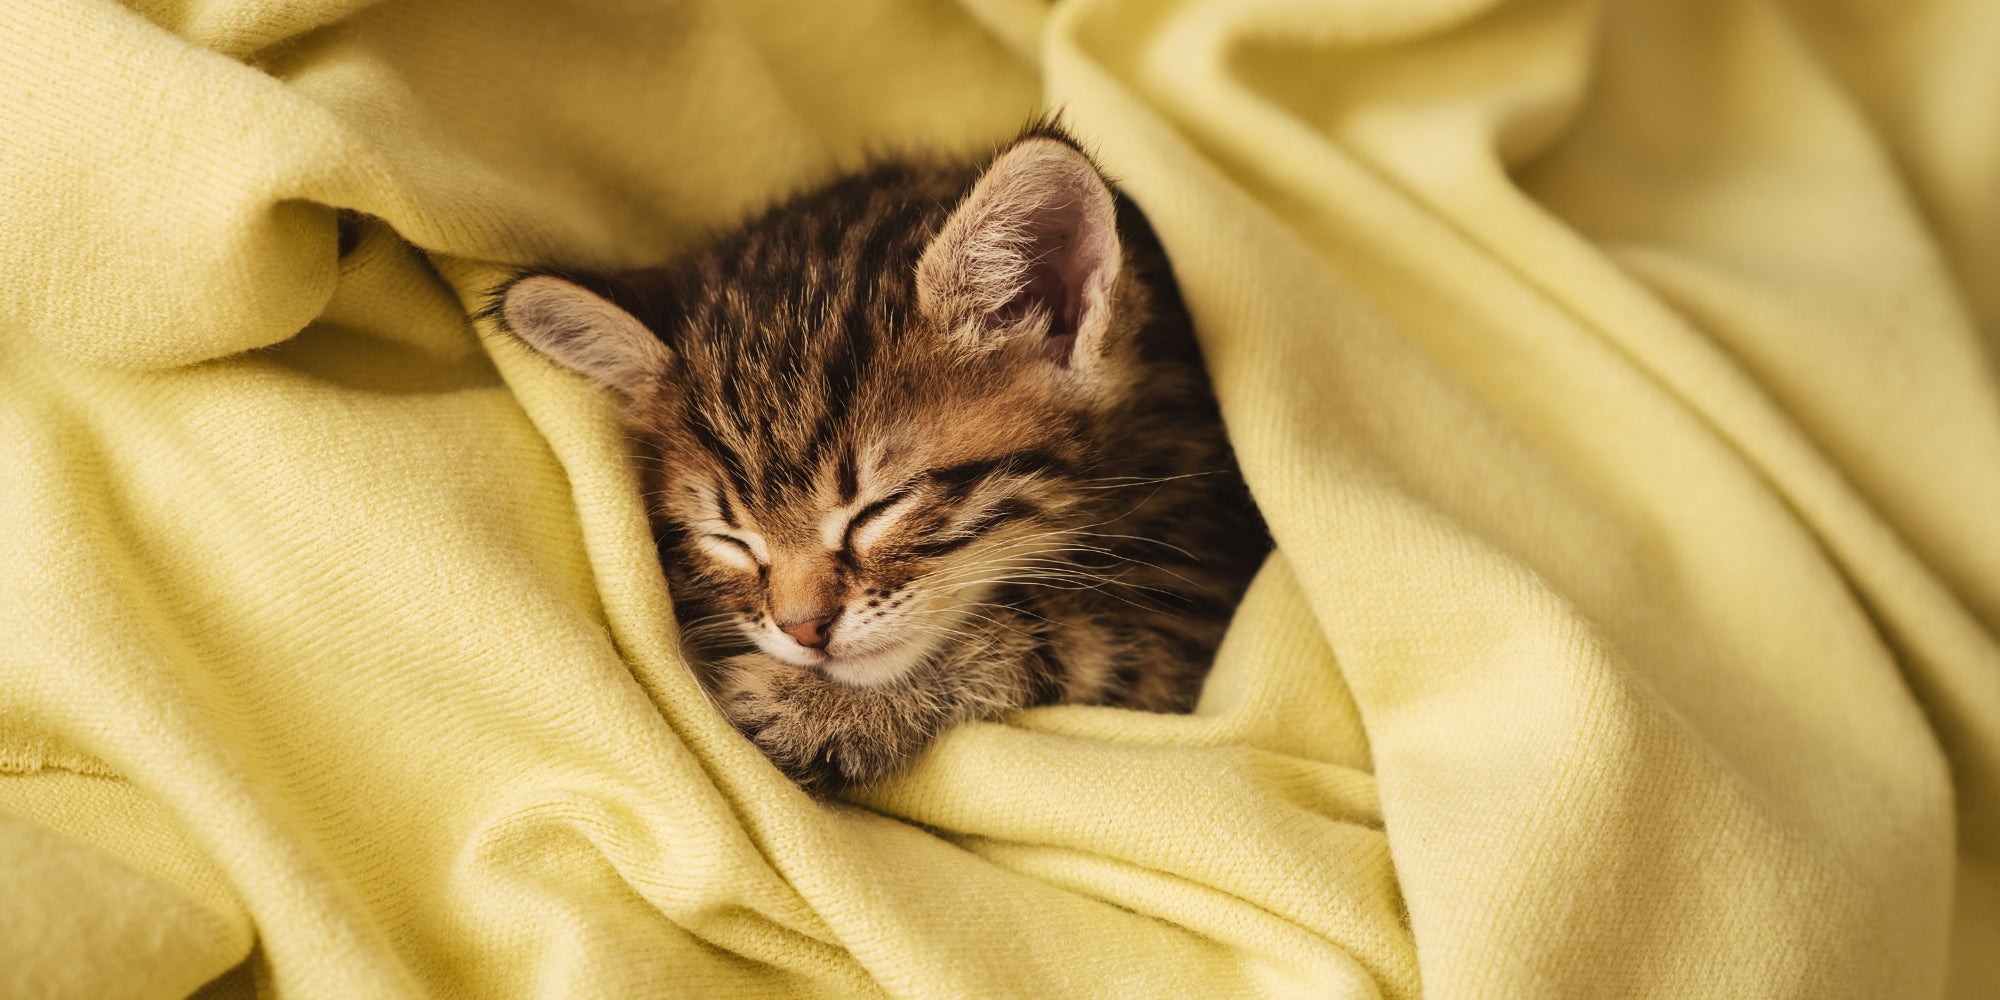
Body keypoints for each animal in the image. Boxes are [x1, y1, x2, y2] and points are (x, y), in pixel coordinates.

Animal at [496, 127, 1264, 796]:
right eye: (729, 540)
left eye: (880, 509)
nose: (803, 632)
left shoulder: (1197, 602)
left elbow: (1059, 631)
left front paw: (817, 712)